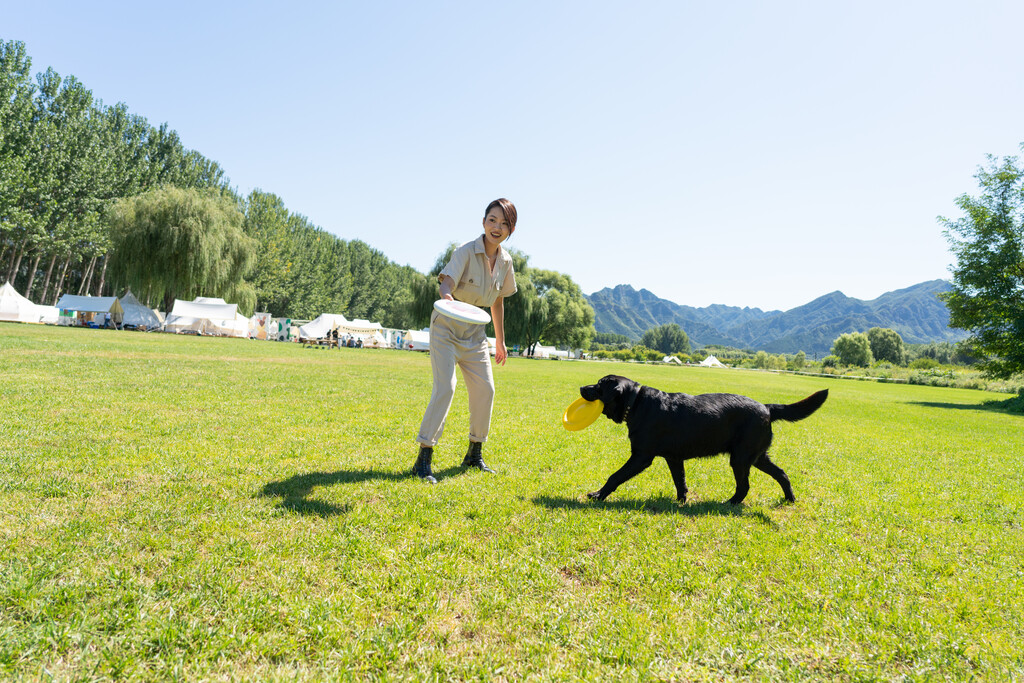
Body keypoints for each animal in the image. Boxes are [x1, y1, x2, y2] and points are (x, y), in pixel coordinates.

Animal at [581, 376, 827, 505]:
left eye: (599, 386)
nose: (582, 387)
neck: (637, 403)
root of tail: (767, 407)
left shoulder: (641, 456)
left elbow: (615, 476)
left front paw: (598, 495)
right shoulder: (674, 458)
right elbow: (680, 481)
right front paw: (681, 501)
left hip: (740, 458)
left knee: (745, 486)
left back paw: (730, 503)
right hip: (757, 456)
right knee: (782, 474)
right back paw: (790, 499)